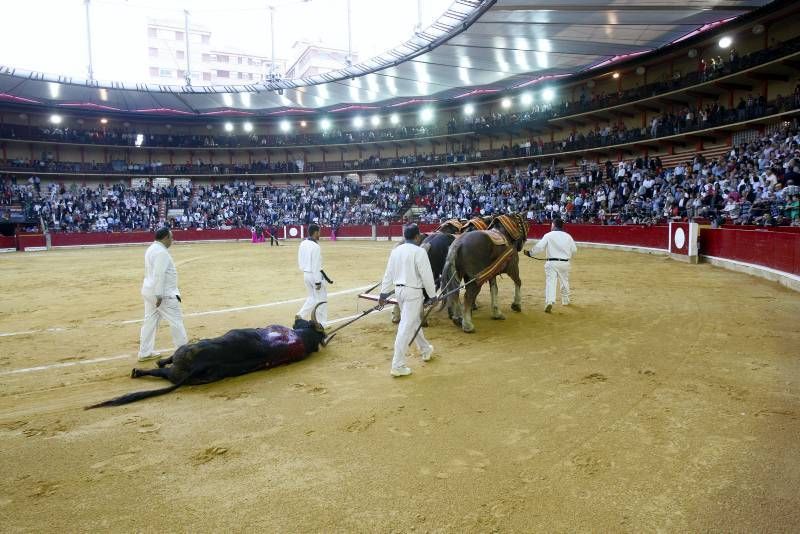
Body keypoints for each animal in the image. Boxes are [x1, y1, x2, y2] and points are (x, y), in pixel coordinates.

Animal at [86, 306, 326, 410]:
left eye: (303, 322)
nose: (297, 316)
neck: (302, 338)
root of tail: (197, 365)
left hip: (182, 354)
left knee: (162, 369)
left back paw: (140, 370)